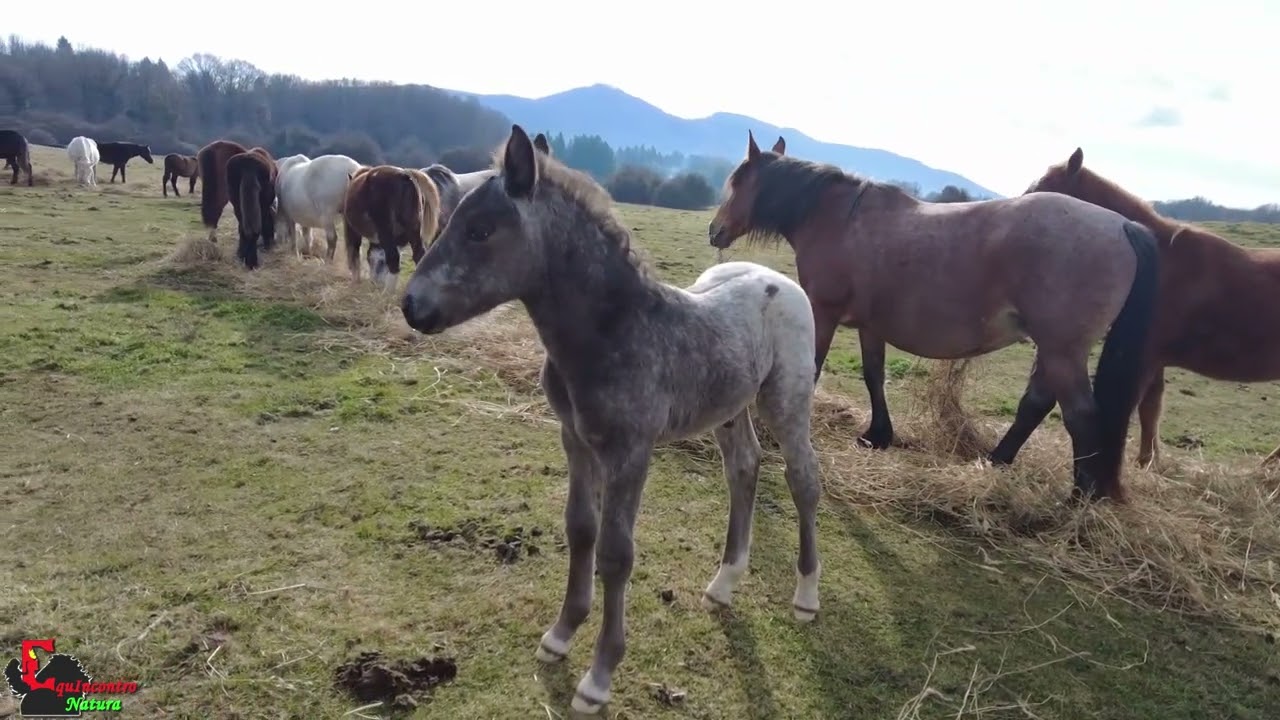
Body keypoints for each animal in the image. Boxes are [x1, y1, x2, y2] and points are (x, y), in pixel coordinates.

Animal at [400, 124, 823, 715]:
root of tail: (777, 279)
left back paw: (806, 596)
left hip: (786, 399)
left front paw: (599, 677)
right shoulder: (575, 438)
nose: (411, 306)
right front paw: (560, 634)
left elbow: (617, 554)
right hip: (729, 406)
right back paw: (724, 583)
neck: (611, 332)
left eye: (481, 230)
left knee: (802, 478)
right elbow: (581, 529)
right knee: (744, 466)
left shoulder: (631, 451)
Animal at [710, 131, 1161, 502]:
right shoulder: (870, 325)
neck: (840, 217)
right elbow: (874, 375)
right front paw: (877, 435)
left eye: (737, 182)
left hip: (1062, 350)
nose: (715, 230)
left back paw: (1078, 501)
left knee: (1081, 417)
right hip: (1055, 351)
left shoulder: (824, 312)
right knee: (1035, 405)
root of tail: (1123, 226)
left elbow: (814, 371)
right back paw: (997, 463)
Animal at [1025, 148, 1280, 468]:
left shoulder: (1145, 355)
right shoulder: (1156, 358)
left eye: (1044, 188)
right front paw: (1149, 461)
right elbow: (1151, 409)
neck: (1160, 261)